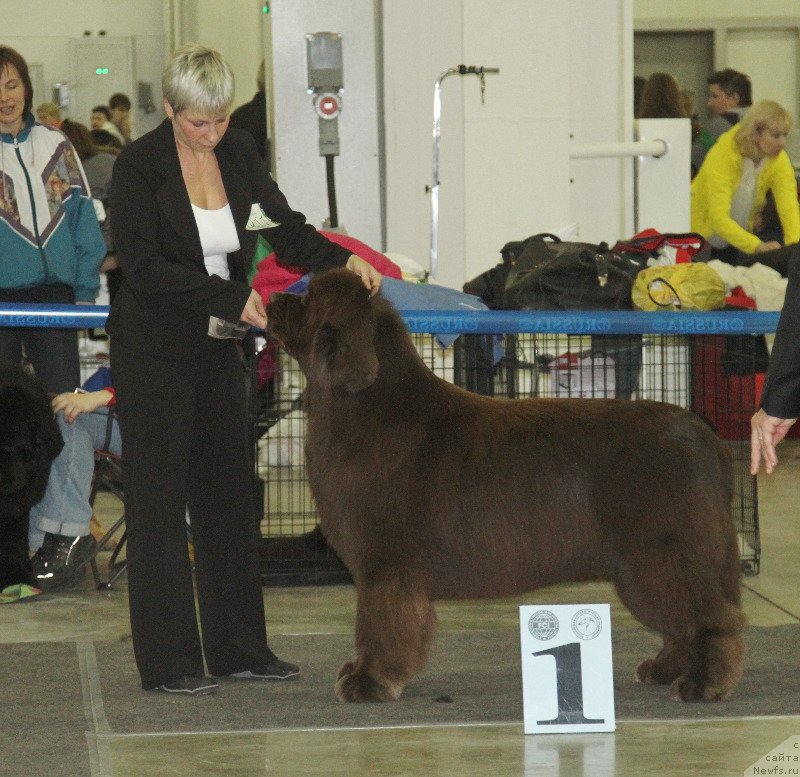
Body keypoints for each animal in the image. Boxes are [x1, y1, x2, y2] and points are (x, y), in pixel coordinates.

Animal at [268, 270, 744, 708]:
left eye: (306, 298)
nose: (270, 298)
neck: (363, 406)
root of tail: (705, 437)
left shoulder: (386, 563)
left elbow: (380, 624)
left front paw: (369, 681)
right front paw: (362, 672)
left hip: (663, 554)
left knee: (713, 618)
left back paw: (703, 683)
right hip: (645, 565)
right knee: (681, 623)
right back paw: (665, 669)